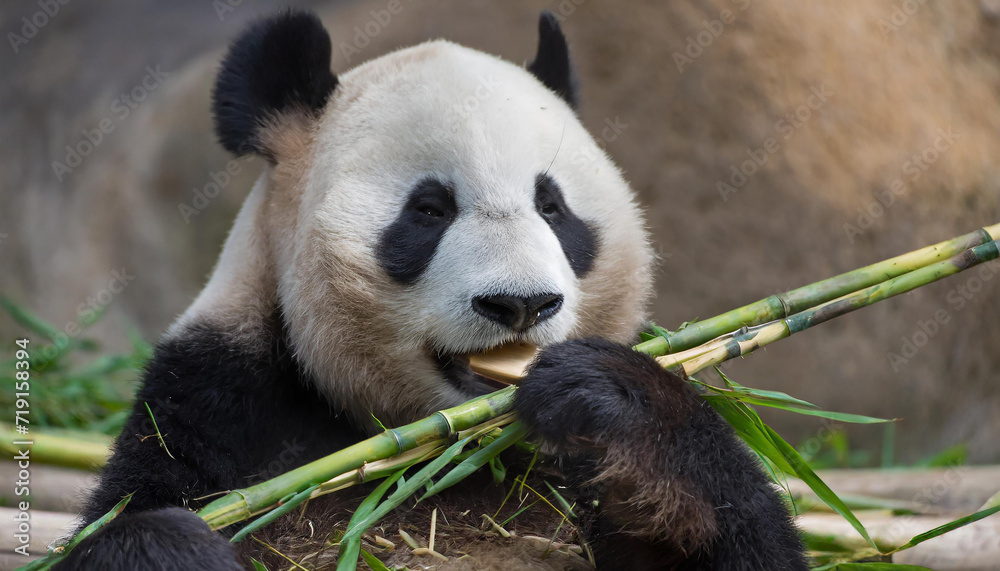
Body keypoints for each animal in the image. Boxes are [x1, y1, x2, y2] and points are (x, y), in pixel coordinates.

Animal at [58, 9, 807, 571]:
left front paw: (609, 402)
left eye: (553, 207)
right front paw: (175, 546)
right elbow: (127, 517)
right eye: (428, 210)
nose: (520, 303)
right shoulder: (217, 402)